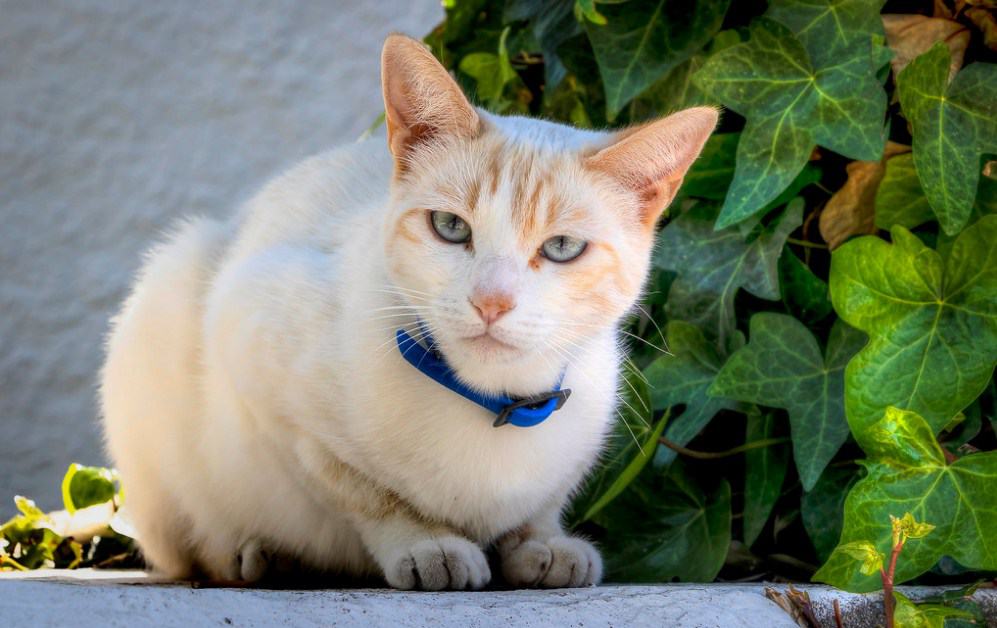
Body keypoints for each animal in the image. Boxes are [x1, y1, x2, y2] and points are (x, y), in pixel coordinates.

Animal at [101, 35, 716, 588]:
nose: (491, 301)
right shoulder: (260, 354)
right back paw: (256, 555)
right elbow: (362, 489)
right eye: (450, 228)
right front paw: (428, 545)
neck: (495, 404)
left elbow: (542, 503)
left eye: (563, 247)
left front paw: (540, 545)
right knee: (190, 543)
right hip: (173, 277)